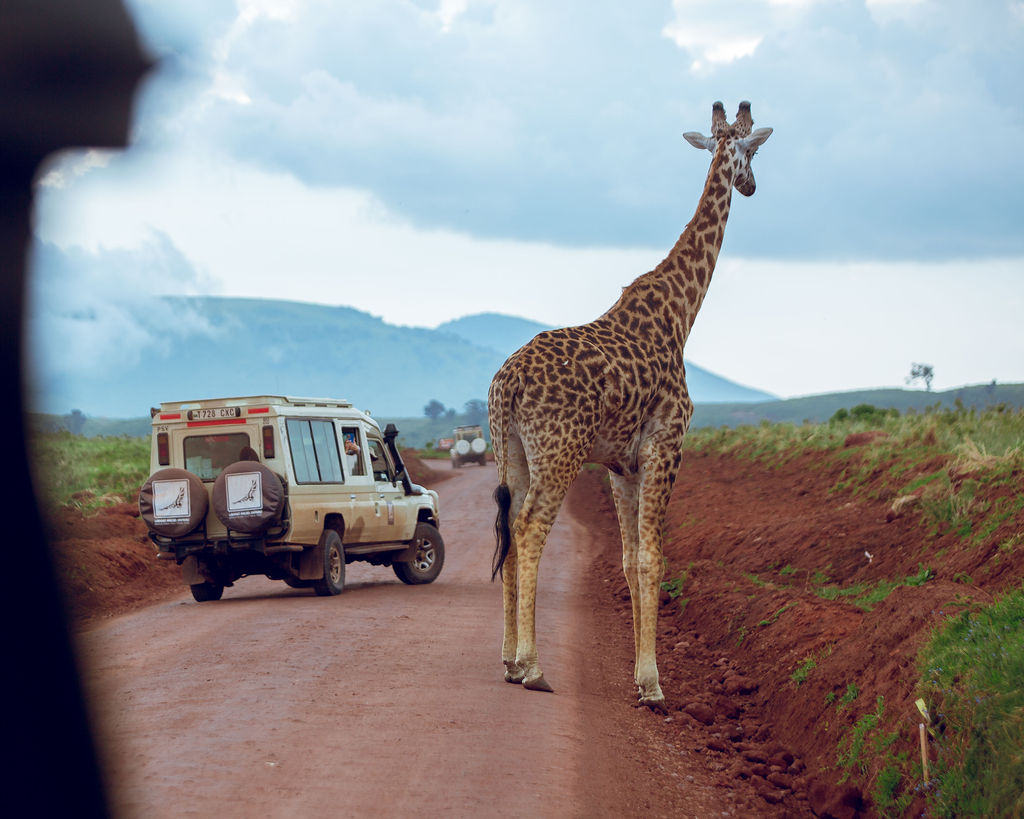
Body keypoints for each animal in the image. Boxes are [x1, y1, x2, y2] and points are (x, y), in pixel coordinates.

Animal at [488, 101, 772, 711]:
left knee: (508, 530)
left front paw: (641, 676)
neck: (681, 313)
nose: (752, 186)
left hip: (511, 452)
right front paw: (653, 684)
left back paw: (508, 661)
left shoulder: (623, 464)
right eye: (754, 150)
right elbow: (651, 558)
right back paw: (533, 666)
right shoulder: (667, 445)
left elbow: (626, 559)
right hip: (559, 454)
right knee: (528, 530)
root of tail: (508, 384)